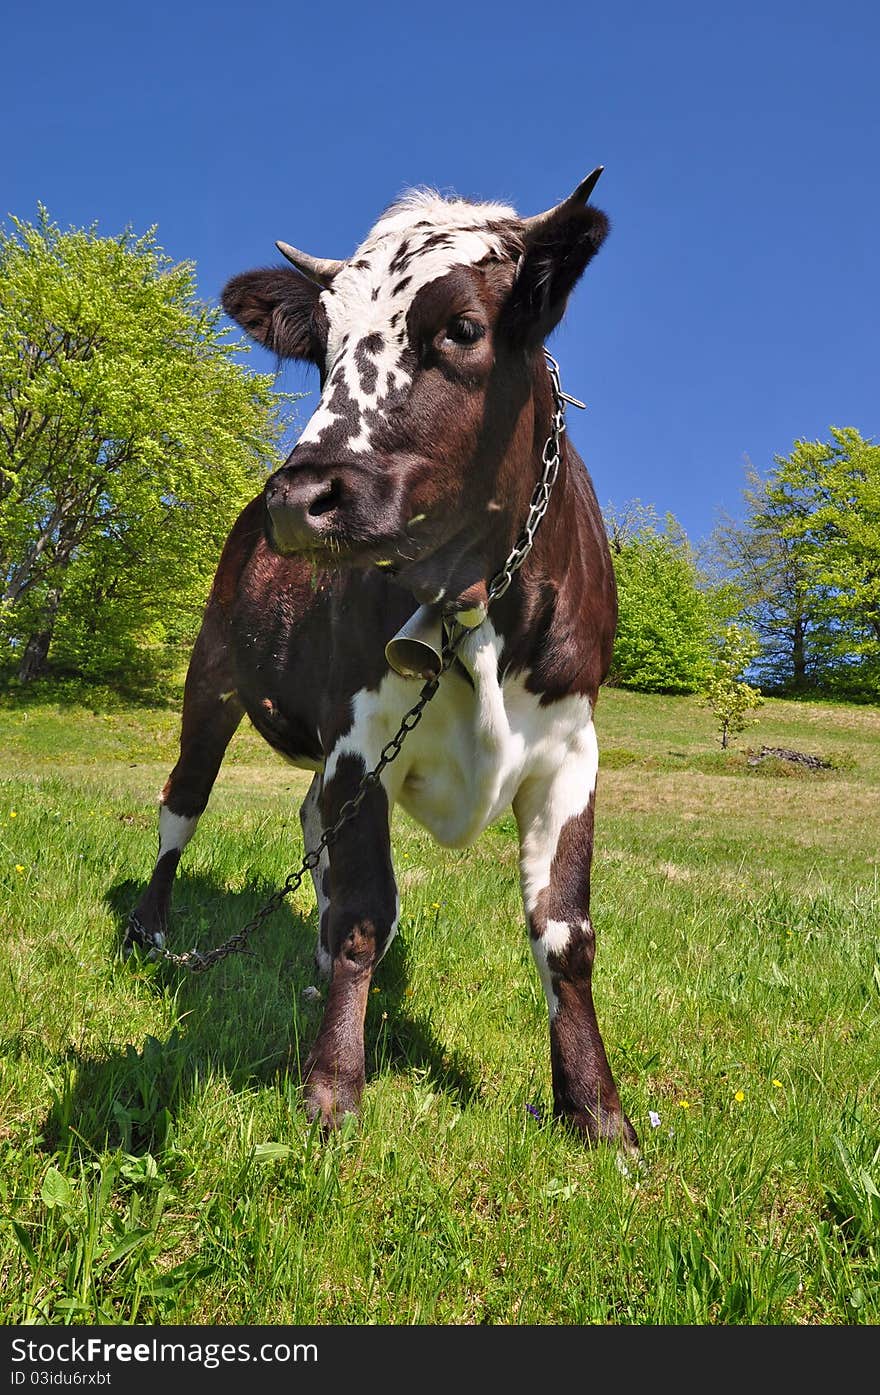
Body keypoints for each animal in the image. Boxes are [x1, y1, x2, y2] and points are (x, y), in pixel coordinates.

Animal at [129, 171, 641, 1155]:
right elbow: (366, 910)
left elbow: (566, 932)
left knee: (305, 825)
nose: (298, 497)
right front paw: (333, 1091)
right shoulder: (358, 735)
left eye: (465, 328)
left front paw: (597, 1110)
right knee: (182, 806)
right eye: (323, 347)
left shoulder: (572, 748)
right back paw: (149, 928)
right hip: (210, 680)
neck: (476, 600)